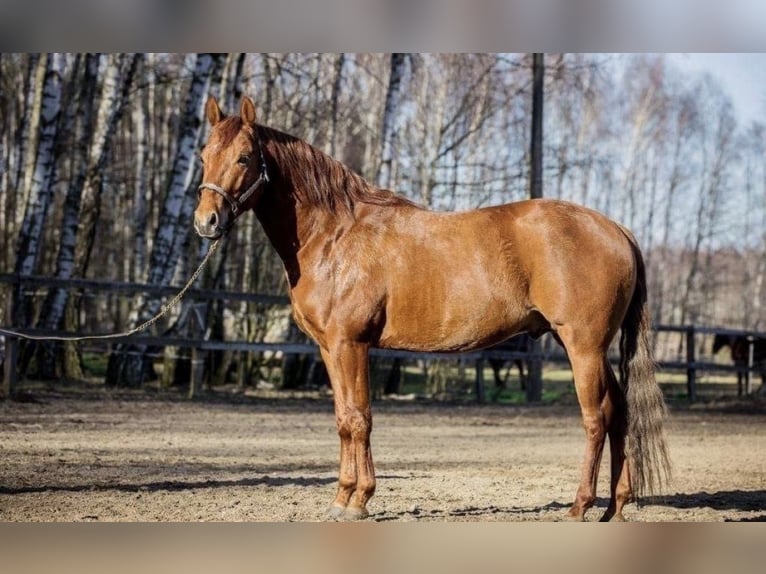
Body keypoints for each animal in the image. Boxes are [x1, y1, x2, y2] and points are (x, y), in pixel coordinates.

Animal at [194, 97, 672, 524]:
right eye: (203, 155)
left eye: (243, 158)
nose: (206, 222)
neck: (335, 235)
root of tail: (616, 229)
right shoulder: (330, 348)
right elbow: (344, 421)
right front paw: (342, 496)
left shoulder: (351, 345)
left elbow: (360, 418)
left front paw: (359, 500)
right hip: (591, 347)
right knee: (620, 414)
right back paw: (615, 507)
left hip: (583, 346)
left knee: (596, 418)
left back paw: (580, 506)